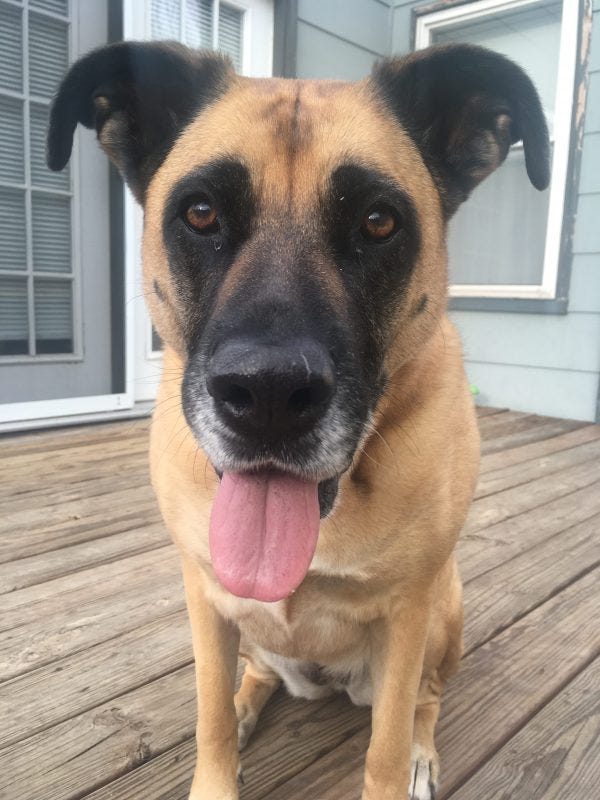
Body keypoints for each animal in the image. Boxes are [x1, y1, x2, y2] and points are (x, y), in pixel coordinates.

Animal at [49, 40, 552, 796]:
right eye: (201, 213)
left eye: (378, 221)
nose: (267, 396)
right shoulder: (206, 597)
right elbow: (209, 718)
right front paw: (219, 756)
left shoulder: (409, 614)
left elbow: (385, 746)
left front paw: (401, 760)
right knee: (254, 676)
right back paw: (246, 703)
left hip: (445, 609)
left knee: (428, 698)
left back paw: (422, 751)